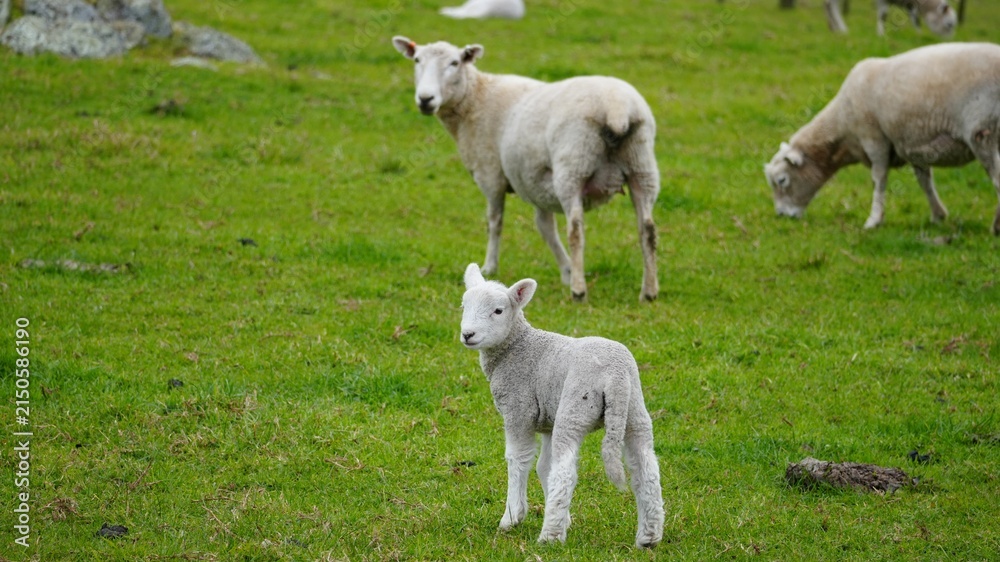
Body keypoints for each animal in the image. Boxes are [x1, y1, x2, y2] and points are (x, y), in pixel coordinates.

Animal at [392, 36, 660, 302]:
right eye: (417, 60)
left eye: (455, 63)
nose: (425, 99)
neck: (475, 98)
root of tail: (617, 109)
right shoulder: (536, 185)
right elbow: (545, 228)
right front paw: (565, 270)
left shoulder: (490, 174)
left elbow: (494, 222)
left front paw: (490, 267)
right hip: (641, 165)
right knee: (647, 229)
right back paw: (648, 291)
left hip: (573, 166)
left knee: (576, 230)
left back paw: (579, 290)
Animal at [459, 262, 665, 547]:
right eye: (463, 306)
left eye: (498, 310)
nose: (468, 334)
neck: (517, 347)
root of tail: (615, 375)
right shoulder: (547, 418)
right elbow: (544, 467)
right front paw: (564, 517)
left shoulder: (519, 409)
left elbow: (519, 460)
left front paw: (512, 517)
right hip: (634, 409)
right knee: (646, 469)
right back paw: (648, 537)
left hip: (574, 408)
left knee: (566, 471)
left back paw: (550, 536)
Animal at [764, 42, 1000, 235]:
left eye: (782, 180)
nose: (782, 216)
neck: (843, 128)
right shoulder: (914, 146)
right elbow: (925, 182)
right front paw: (938, 215)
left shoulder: (874, 140)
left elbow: (879, 179)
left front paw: (874, 220)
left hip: (982, 133)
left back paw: (995, 228)